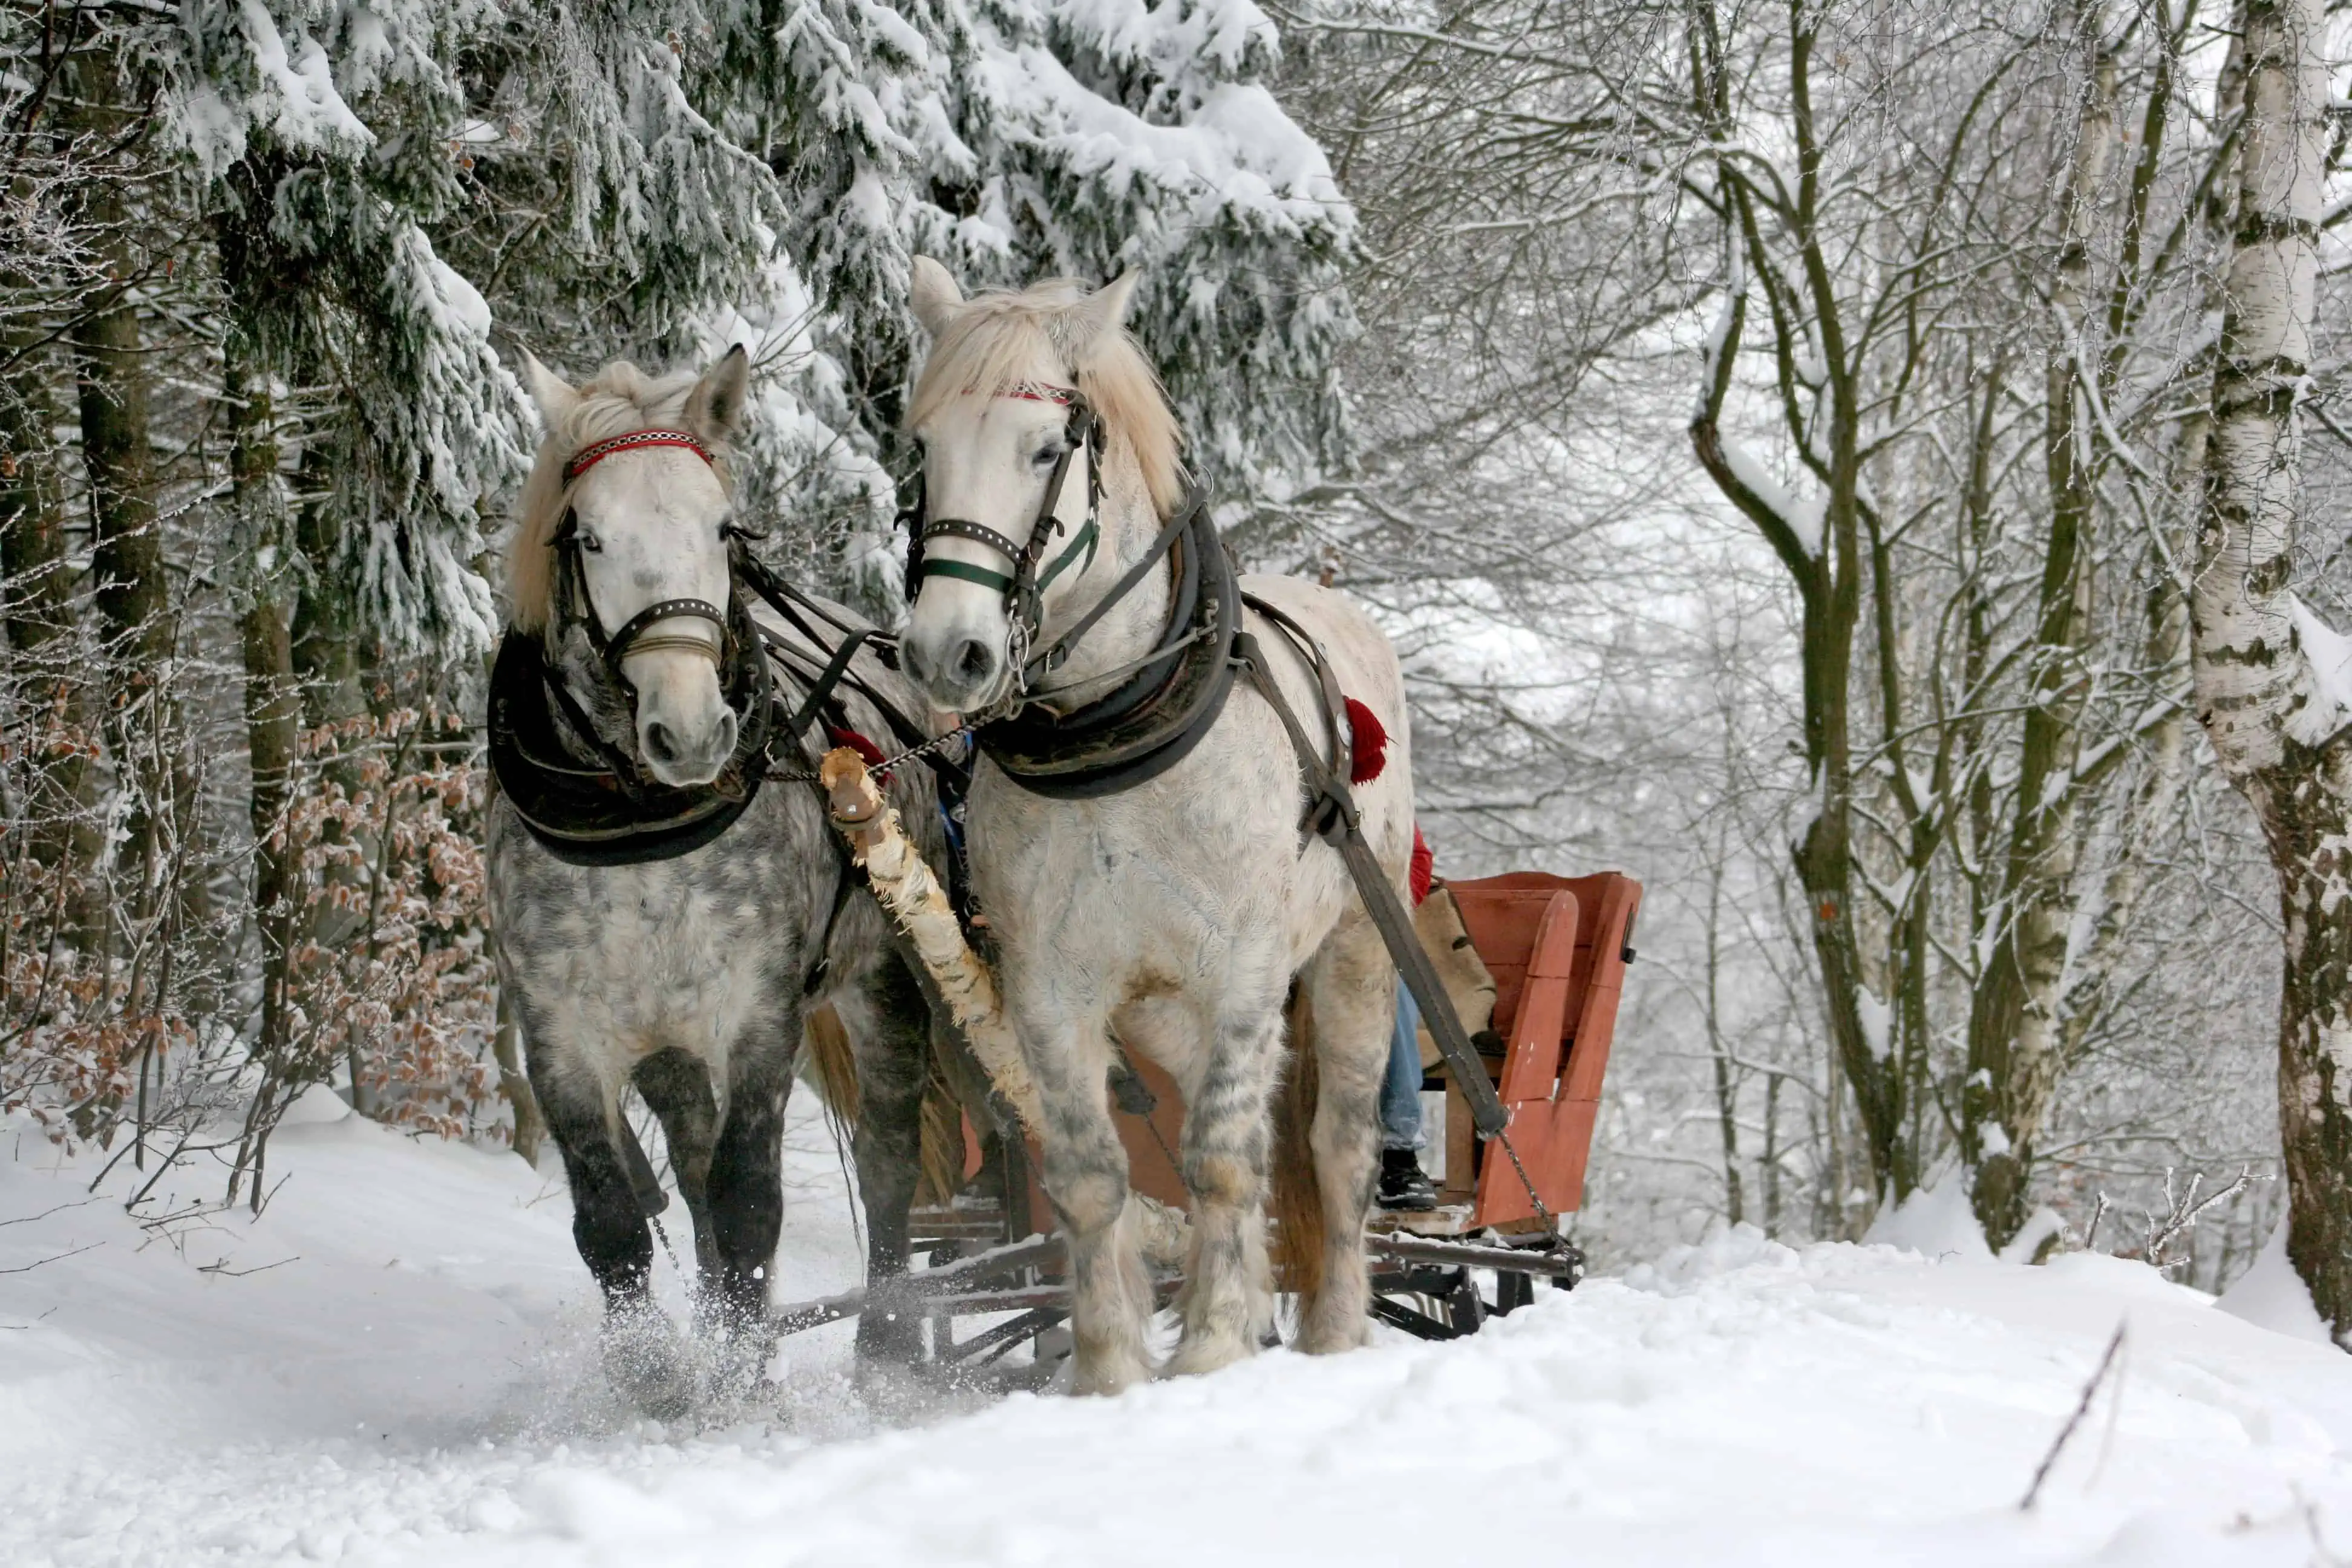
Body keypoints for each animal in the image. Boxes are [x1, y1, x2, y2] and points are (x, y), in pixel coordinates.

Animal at [893, 263, 1411, 1391]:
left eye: (1046, 449)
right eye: (923, 448)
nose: (947, 654)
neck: (1116, 731)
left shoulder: (1247, 971)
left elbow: (1220, 1157)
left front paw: (1212, 1346)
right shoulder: (1049, 988)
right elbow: (1094, 1174)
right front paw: (1111, 1368)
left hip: (1353, 952)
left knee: (1333, 1144)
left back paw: (1335, 1329)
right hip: (1165, 1008)